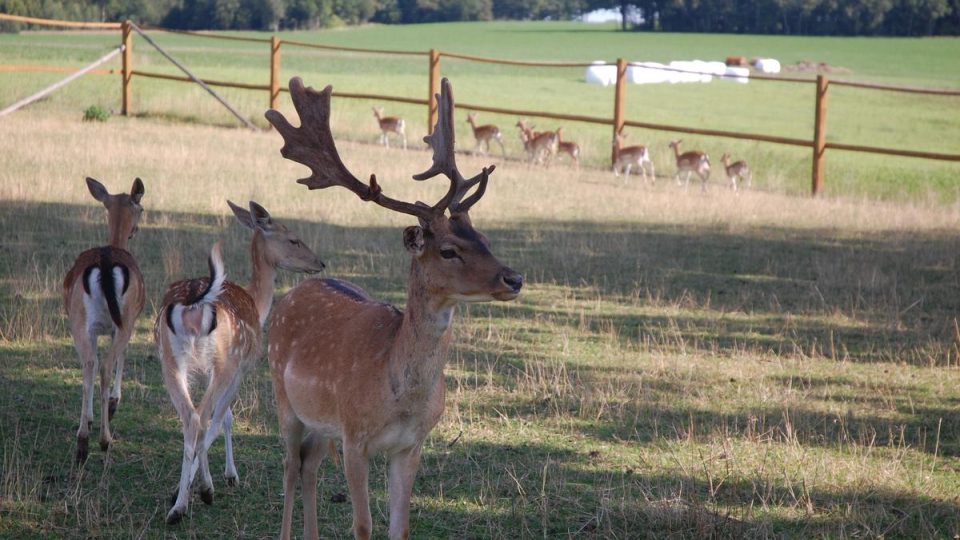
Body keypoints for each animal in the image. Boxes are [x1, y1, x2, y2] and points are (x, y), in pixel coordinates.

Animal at [64, 177, 146, 464]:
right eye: (142, 209)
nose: (136, 230)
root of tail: (107, 263)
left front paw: (89, 420)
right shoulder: (129, 321)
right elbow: (123, 356)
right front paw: (113, 403)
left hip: (79, 321)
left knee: (90, 363)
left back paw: (82, 442)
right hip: (123, 320)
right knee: (106, 365)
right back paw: (104, 439)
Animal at [156, 201, 324, 524]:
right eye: (293, 239)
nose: (319, 263)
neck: (258, 304)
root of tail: (194, 304)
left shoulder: (207, 372)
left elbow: (221, 418)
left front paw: (179, 488)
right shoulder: (243, 366)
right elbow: (223, 418)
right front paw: (224, 478)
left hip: (169, 360)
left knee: (189, 417)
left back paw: (178, 505)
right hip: (225, 358)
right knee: (201, 417)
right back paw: (194, 499)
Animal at [264, 77, 524, 540]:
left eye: (485, 240)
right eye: (448, 250)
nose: (514, 279)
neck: (399, 396)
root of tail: (296, 291)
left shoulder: (412, 445)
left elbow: (399, 527)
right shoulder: (354, 437)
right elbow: (363, 525)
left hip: (320, 420)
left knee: (309, 465)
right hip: (283, 396)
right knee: (290, 467)